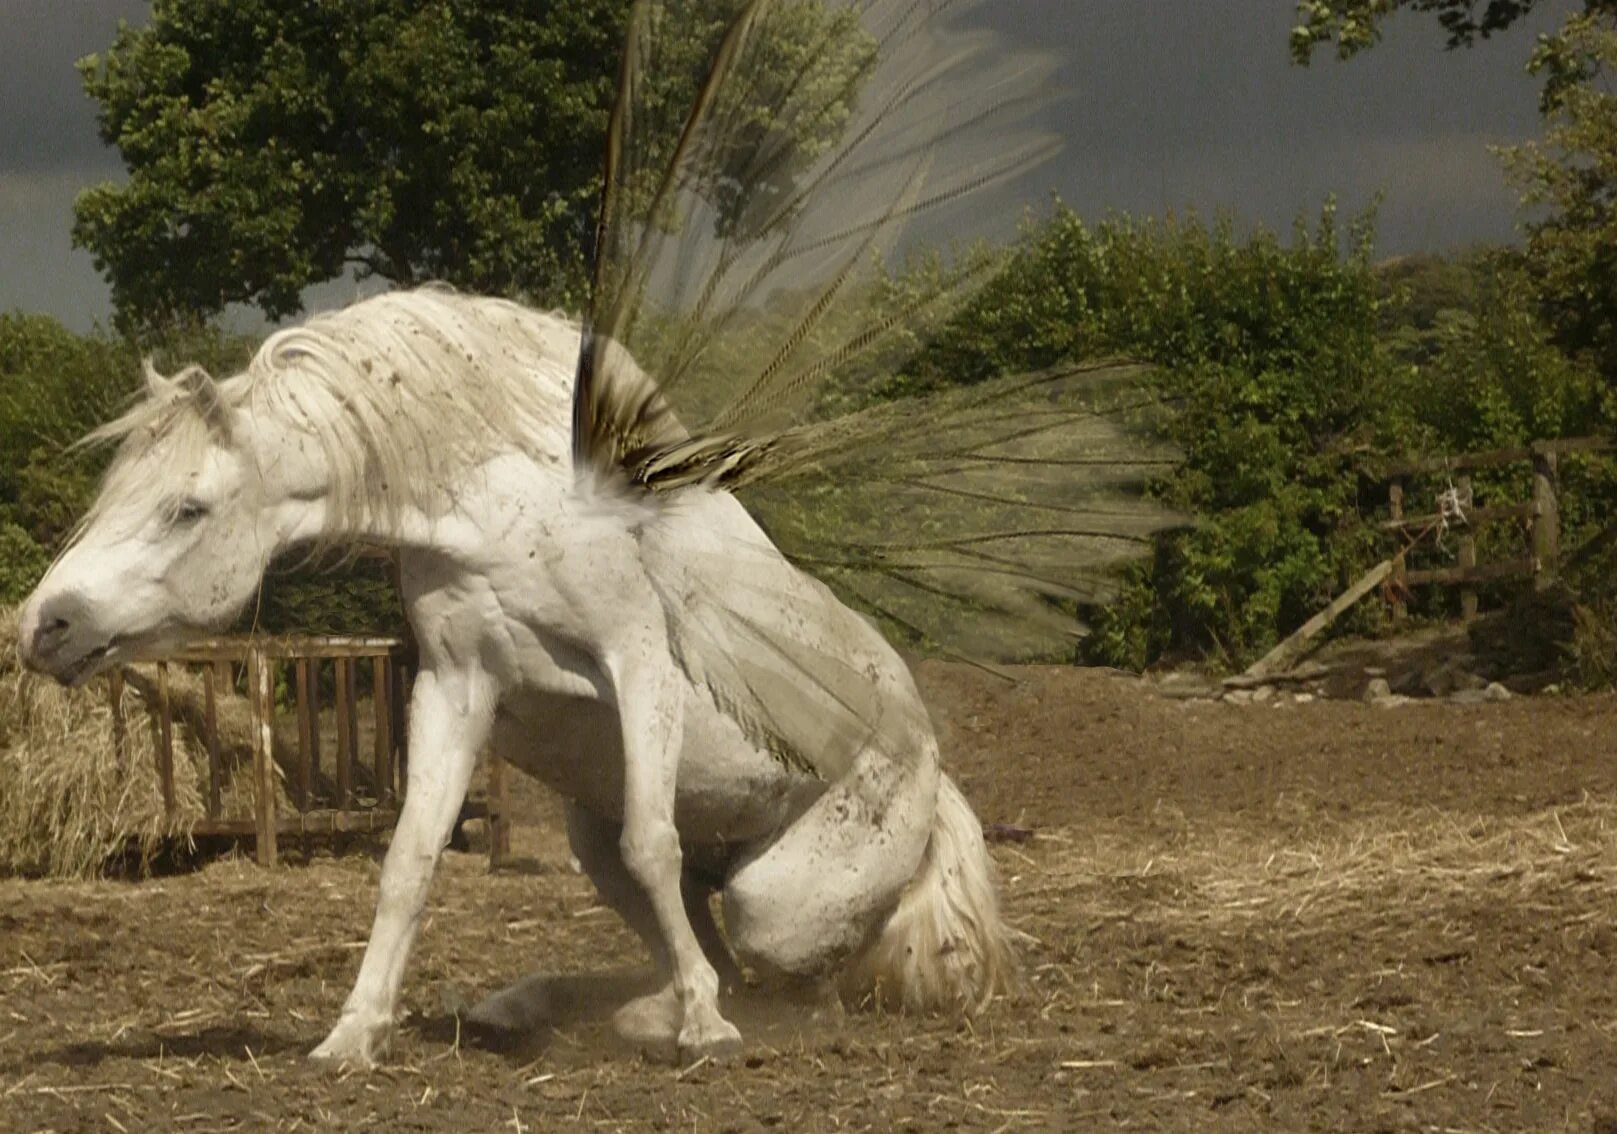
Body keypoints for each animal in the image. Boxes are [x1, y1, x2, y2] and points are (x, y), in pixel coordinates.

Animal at [15, 287, 1009, 1067]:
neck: (505, 508)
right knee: (698, 942)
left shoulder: (638, 660)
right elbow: (409, 863)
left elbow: (654, 841)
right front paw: (351, 1036)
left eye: (187, 508)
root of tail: (929, 770)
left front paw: (709, 1037)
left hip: (781, 902)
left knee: (780, 967)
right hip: (597, 842)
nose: (42, 625)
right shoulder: (455, 687)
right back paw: (569, 1008)